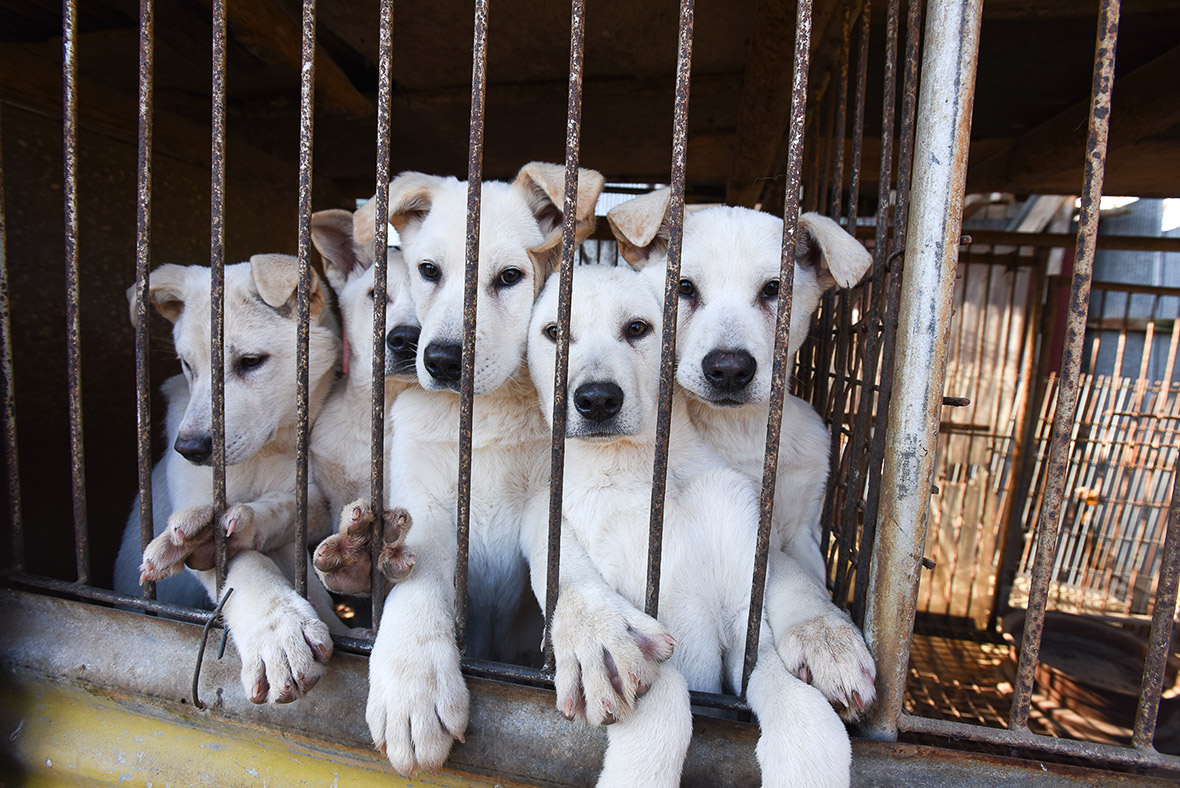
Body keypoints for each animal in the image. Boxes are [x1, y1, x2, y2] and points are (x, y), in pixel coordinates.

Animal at [112, 255, 342, 703]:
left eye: (251, 362)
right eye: (187, 365)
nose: (189, 448)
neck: (266, 452)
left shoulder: (313, 494)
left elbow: (289, 508)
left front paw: (245, 524)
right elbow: (242, 561)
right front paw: (278, 629)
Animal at [531, 266, 854, 788]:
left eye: (637, 328)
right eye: (554, 332)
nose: (596, 399)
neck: (644, 469)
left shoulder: (746, 627)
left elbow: (804, 713)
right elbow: (659, 697)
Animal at [608, 188, 877, 712]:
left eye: (775, 289)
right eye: (683, 287)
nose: (729, 368)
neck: (745, 432)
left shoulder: (803, 527)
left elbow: (808, 575)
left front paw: (826, 626)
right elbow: (789, 576)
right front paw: (825, 635)